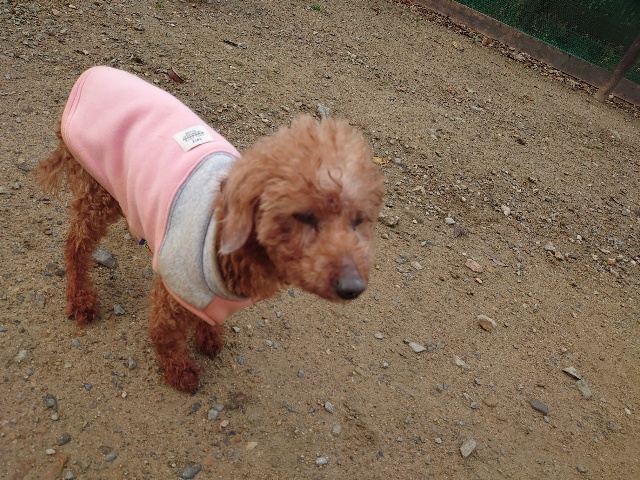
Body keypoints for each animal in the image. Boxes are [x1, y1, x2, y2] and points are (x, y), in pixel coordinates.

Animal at [37, 66, 385, 393]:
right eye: (304, 216)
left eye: (358, 220)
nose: (353, 287)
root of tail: (91, 74)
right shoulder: (175, 290)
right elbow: (164, 334)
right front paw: (181, 374)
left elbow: (206, 321)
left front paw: (209, 338)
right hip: (97, 189)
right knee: (76, 245)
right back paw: (80, 300)